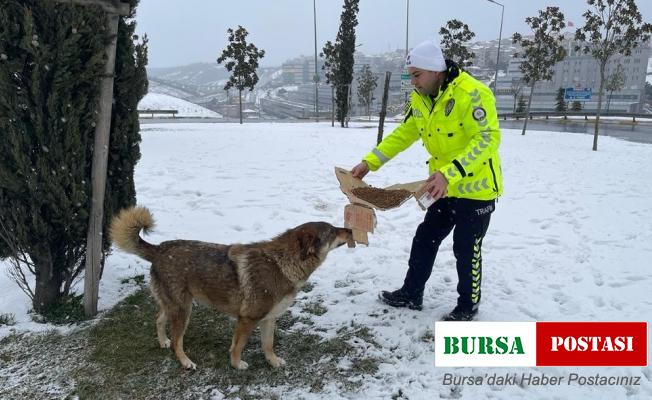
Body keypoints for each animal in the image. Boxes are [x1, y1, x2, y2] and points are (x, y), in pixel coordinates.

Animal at [109, 208, 354, 370]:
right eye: (332, 232)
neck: (282, 263)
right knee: (177, 342)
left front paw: (273, 361)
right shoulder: (247, 319)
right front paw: (236, 365)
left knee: (159, 319)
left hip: (173, 306)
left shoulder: (269, 318)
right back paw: (186, 362)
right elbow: (238, 346)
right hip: (184, 310)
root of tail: (159, 249)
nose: (350, 229)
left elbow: (268, 344)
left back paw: (163, 342)